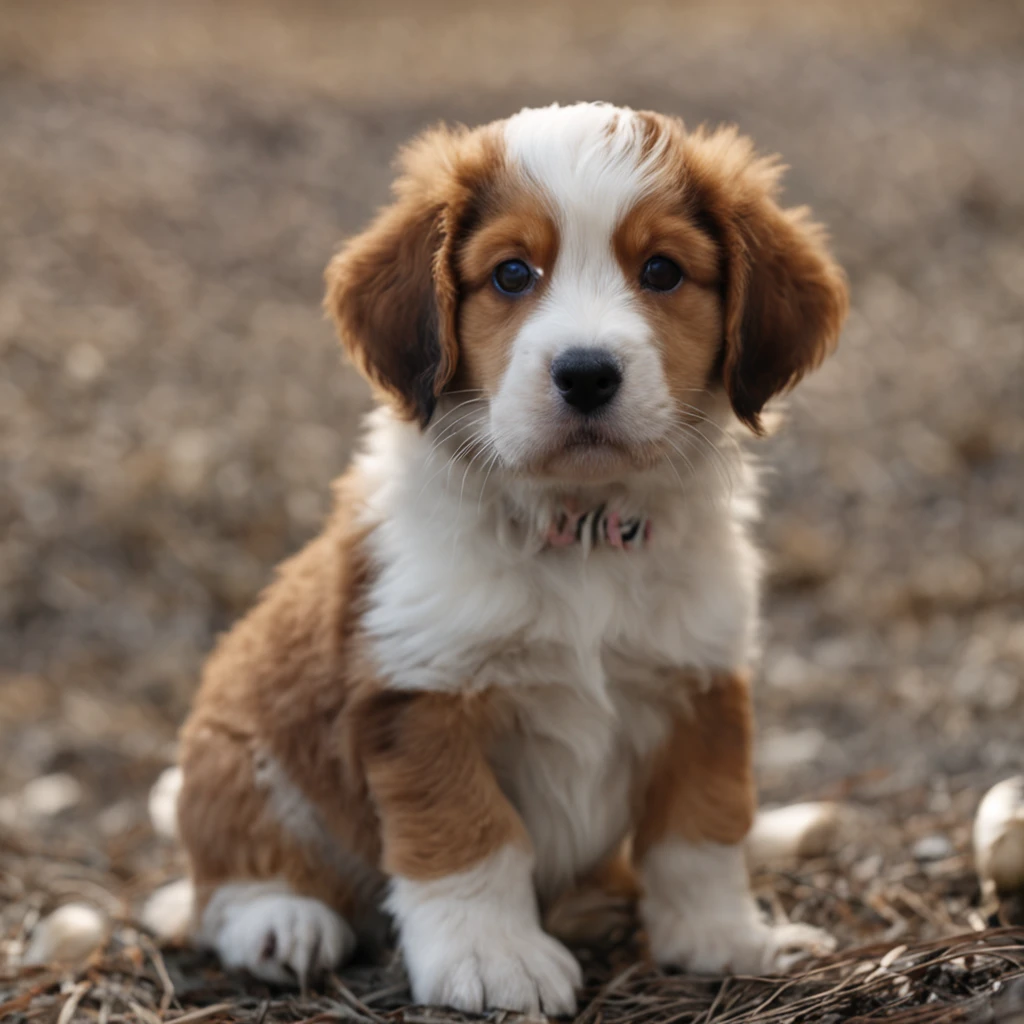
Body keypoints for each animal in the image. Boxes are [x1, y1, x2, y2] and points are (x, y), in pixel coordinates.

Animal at [172, 103, 847, 1015]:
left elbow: (701, 829)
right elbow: (471, 835)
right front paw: (495, 961)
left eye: (663, 270)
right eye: (513, 274)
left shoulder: (701, 681)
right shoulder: (421, 693)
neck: (580, 530)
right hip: (231, 752)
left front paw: (725, 940)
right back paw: (283, 921)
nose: (587, 374)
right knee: (221, 884)